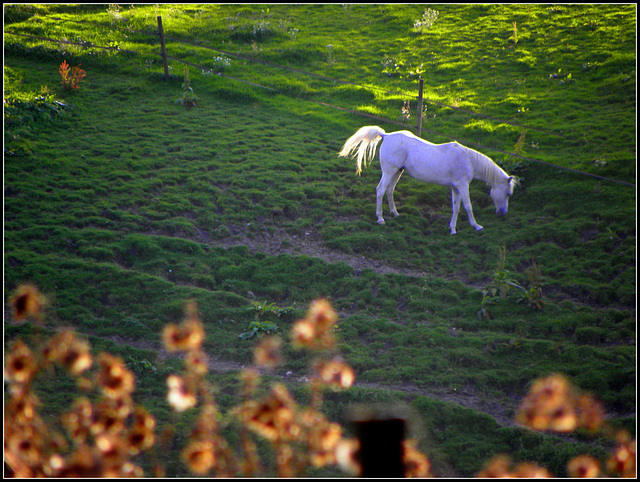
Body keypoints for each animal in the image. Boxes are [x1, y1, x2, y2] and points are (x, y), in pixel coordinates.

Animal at [338, 126, 516, 235]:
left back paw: (395, 213)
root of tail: (386, 135)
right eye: (508, 193)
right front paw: (477, 226)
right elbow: (468, 206)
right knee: (380, 190)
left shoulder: (455, 188)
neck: (468, 160)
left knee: (389, 190)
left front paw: (452, 229)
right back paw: (380, 218)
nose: (503, 213)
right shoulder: (463, 185)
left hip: (397, 172)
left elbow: (456, 207)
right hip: (389, 171)